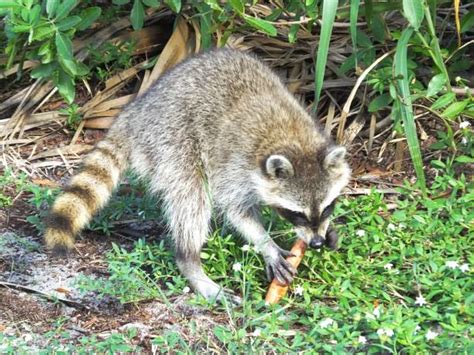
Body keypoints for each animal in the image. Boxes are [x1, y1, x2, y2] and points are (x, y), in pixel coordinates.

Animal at [44, 48, 352, 304]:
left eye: (327, 206)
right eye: (296, 213)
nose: (316, 243)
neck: (293, 139)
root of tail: (135, 113)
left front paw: (329, 230)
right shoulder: (236, 166)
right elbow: (236, 210)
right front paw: (266, 244)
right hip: (171, 141)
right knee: (192, 199)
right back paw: (190, 261)